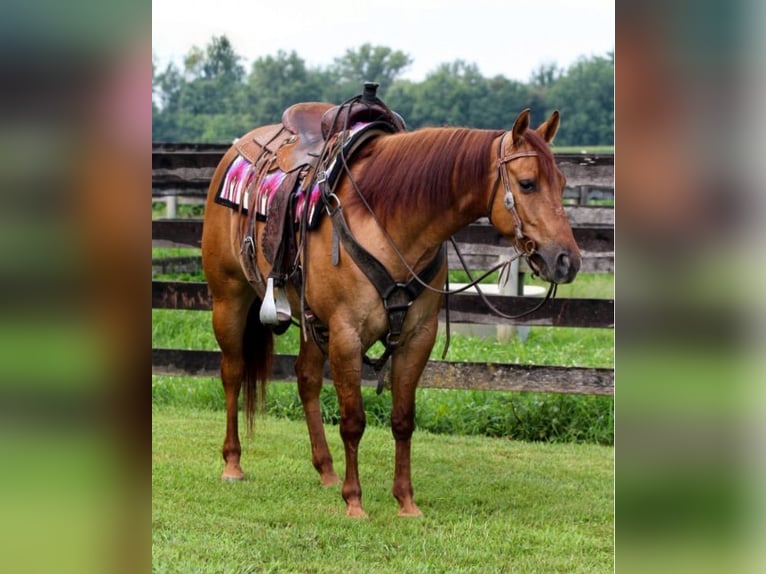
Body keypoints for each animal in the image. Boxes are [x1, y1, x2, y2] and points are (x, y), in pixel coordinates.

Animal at [201, 89, 581, 518]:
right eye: (528, 184)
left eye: (562, 183)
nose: (566, 260)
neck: (388, 220)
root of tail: (236, 151)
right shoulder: (346, 334)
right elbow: (353, 420)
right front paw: (354, 501)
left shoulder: (417, 337)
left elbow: (402, 419)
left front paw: (406, 501)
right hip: (229, 299)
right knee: (232, 373)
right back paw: (233, 463)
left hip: (312, 320)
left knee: (306, 379)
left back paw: (326, 470)